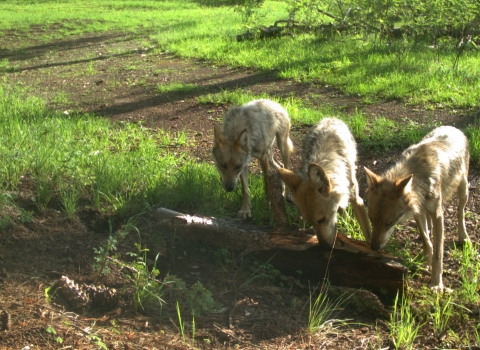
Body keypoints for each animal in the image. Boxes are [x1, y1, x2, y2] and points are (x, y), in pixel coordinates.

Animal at [278, 117, 372, 246]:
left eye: (322, 219)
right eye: (310, 222)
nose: (323, 245)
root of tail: (330, 118)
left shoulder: (357, 199)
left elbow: (367, 233)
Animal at [366, 126, 470, 290]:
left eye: (389, 223)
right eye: (371, 219)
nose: (374, 247)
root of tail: (452, 128)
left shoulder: (438, 214)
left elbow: (438, 253)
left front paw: (436, 284)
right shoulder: (417, 210)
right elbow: (427, 241)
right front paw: (426, 262)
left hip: (463, 189)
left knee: (460, 213)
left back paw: (463, 237)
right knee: (429, 226)